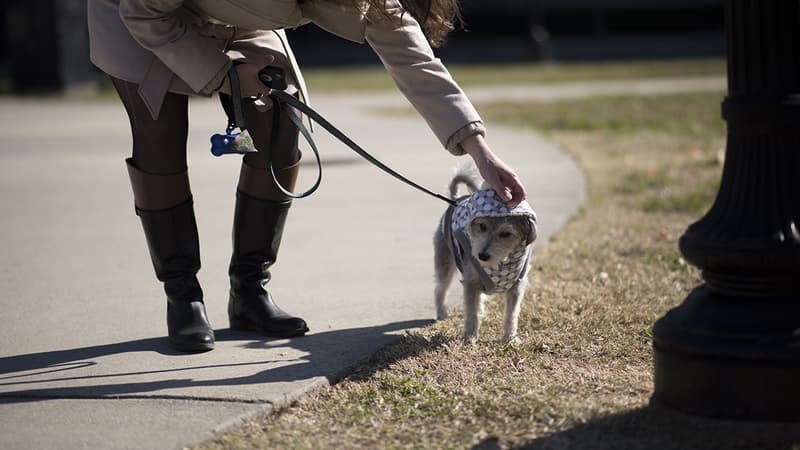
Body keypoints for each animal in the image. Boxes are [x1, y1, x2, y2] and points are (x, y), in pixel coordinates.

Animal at [432, 170, 536, 344]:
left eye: (506, 234)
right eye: (481, 226)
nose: (482, 255)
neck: (500, 263)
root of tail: (455, 200)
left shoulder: (517, 286)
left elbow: (511, 314)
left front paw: (510, 339)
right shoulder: (470, 282)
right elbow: (471, 313)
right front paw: (469, 338)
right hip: (444, 260)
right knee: (440, 288)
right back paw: (441, 313)